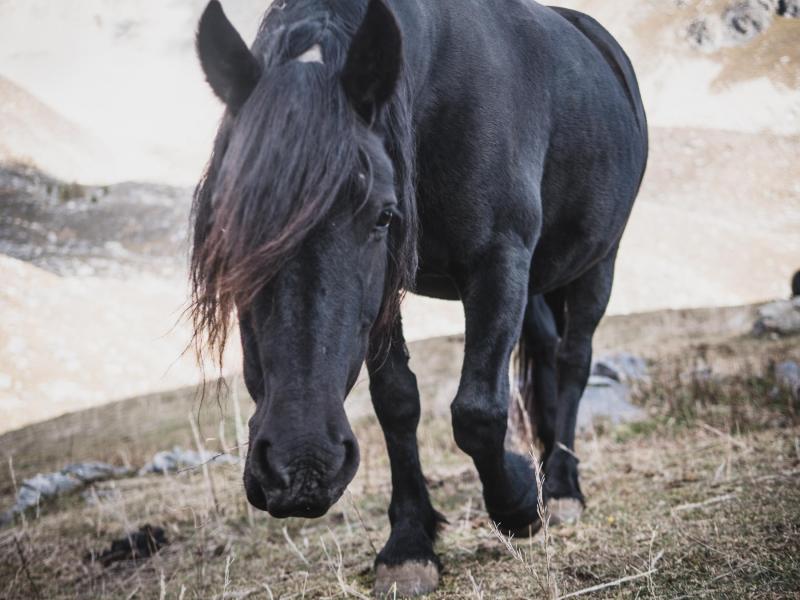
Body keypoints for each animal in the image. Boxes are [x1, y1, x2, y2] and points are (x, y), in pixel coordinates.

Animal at [191, 0, 648, 592]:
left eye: (383, 215)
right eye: (225, 221)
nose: (301, 469)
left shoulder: (499, 260)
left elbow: (476, 412)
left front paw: (520, 502)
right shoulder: (389, 293)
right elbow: (397, 402)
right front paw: (409, 544)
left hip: (600, 260)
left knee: (574, 360)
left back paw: (564, 487)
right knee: (547, 355)